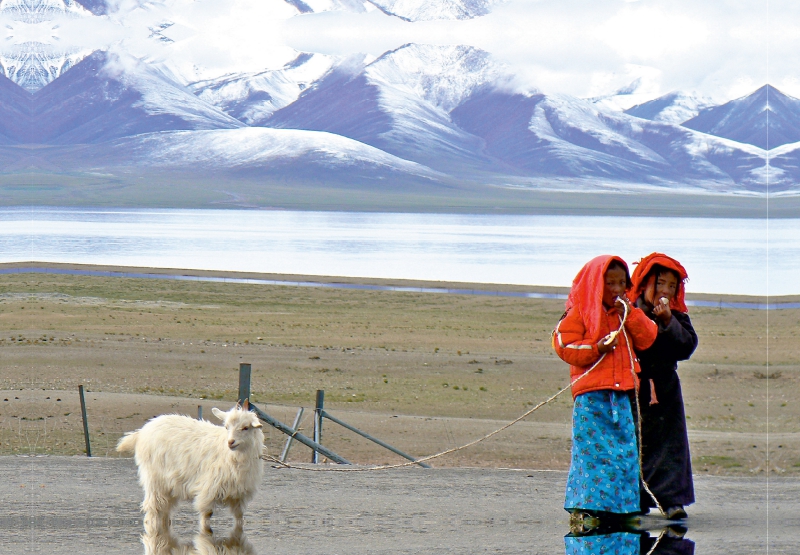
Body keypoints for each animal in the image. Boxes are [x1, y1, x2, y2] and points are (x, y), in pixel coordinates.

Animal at [117, 402, 266, 536]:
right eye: (226, 427)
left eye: (246, 427)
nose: (231, 442)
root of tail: (142, 431)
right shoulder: (208, 492)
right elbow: (206, 517)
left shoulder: (239, 497)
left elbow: (239, 519)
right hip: (155, 480)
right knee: (153, 508)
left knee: (164, 509)